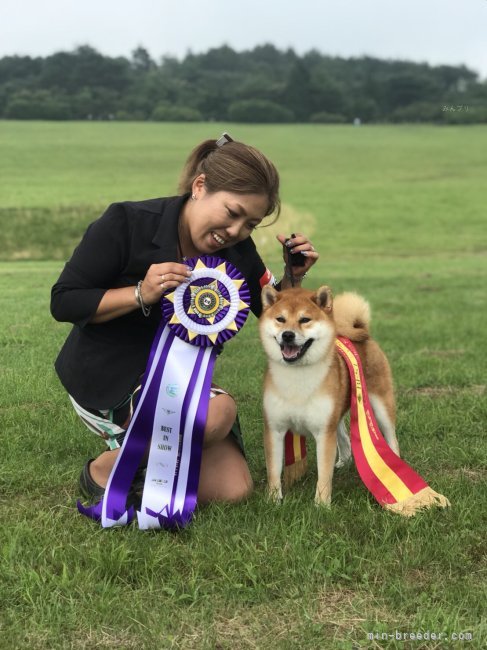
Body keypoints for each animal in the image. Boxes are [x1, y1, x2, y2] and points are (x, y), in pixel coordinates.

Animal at [260, 286, 400, 504]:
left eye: (305, 319)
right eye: (280, 319)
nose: (287, 335)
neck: (297, 377)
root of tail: (362, 332)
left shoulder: (324, 432)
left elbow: (324, 474)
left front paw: (321, 505)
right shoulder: (274, 428)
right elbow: (273, 471)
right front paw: (273, 501)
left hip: (380, 404)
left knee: (391, 437)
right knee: (343, 436)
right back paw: (344, 461)